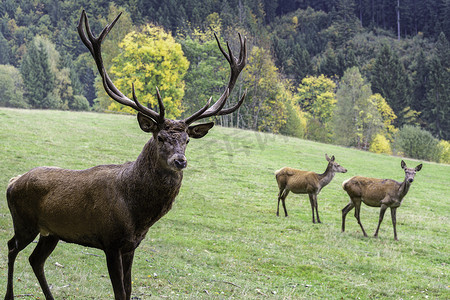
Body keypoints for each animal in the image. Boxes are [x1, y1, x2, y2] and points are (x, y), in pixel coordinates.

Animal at [4, 9, 246, 300]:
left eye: (187, 140)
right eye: (160, 137)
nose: (180, 160)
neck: (136, 214)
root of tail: (12, 182)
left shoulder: (131, 245)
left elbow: (128, 290)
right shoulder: (110, 240)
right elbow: (120, 292)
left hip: (51, 232)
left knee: (35, 259)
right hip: (24, 222)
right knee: (11, 247)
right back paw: (9, 294)